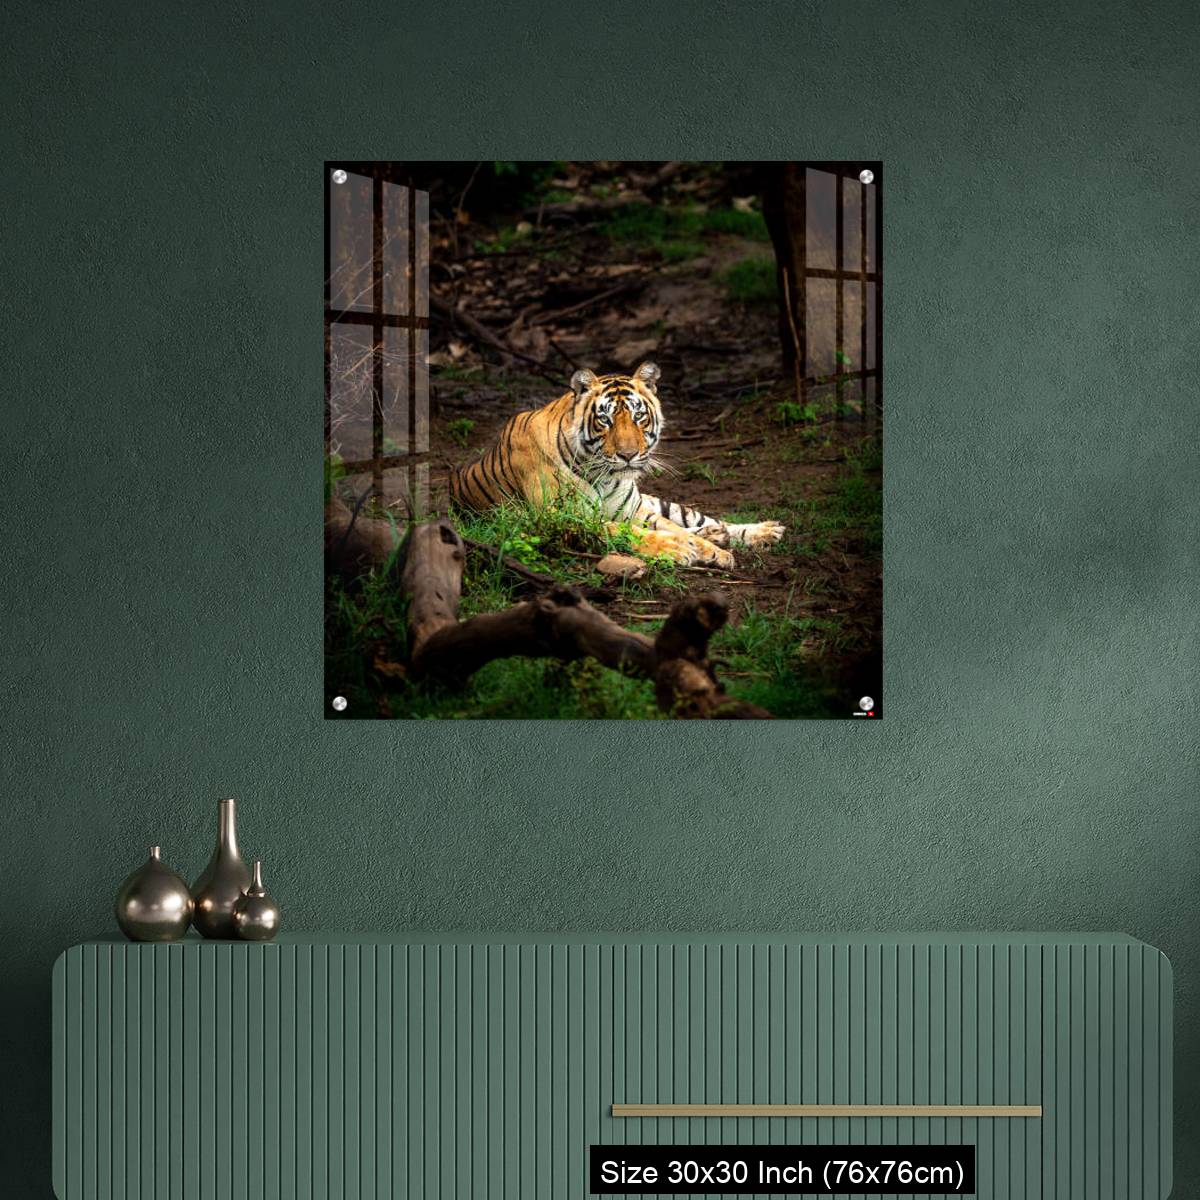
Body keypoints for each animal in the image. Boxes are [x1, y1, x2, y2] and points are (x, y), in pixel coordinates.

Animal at [449, 361, 785, 569]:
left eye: (638, 416)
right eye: (605, 419)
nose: (628, 455)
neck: (605, 476)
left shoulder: (635, 510)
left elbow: (674, 528)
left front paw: (714, 552)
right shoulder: (564, 518)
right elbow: (633, 533)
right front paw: (678, 549)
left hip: (656, 502)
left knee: (699, 519)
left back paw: (762, 531)